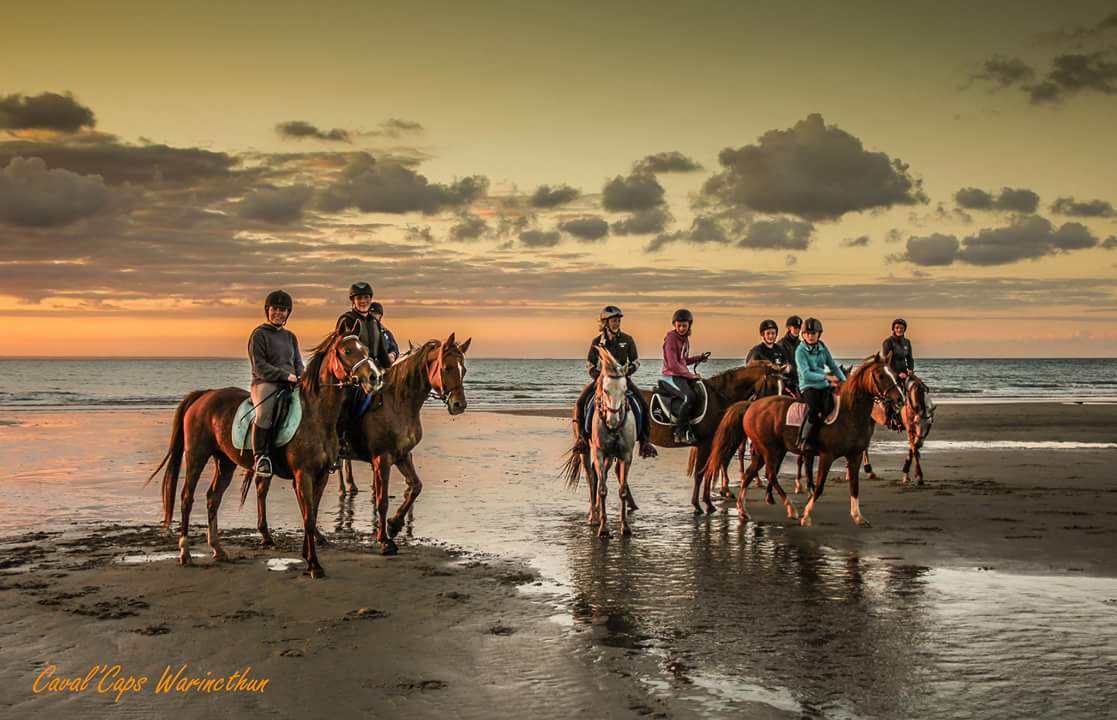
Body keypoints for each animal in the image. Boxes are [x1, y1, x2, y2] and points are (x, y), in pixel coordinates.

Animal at [146, 332, 375, 580]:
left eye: (365, 348)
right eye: (348, 351)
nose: (374, 376)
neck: (316, 416)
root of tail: (204, 395)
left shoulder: (321, 475)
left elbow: (311, 514)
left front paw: (307, 554)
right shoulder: (302, 476)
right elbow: (308, 517)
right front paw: (314, 564)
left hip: (224, 461)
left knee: (212, 497)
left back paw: (218, 549)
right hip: (197, 456)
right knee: (187, 497)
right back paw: (185, 552)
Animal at [562, 346, 643, 535]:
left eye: (625, 391)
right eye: (605, 390)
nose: (613, 420)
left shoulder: (625, 455)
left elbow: (621, 490)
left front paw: (625, 526)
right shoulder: (598, 452)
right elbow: (602, 489)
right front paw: (603, 528)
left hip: (610, 456)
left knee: (602, 475)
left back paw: (598, 511)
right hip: (586, 450)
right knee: (591, 476)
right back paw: (593, 515)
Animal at [638, 361, 786, 513]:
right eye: (773, 387)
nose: (777, 412)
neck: (719, 397)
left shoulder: (711, 444)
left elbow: (707, 471)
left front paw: (708, 503)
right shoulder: (705, 444)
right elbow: (700, 473)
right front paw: (699, 505)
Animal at [705, 354, 907, 526]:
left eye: (894, 374)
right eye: (880, 375)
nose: (900, 399)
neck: (849, 413)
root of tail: (752, 405)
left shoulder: (854, 455)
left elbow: (854, 486)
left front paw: (858, 517)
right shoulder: (826, 456)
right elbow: (819, 486)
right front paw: (807, 515)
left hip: (765, 452)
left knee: (750, 474)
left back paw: (743, 509)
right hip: (770, 450)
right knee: (770, 474)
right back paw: (791, 509)